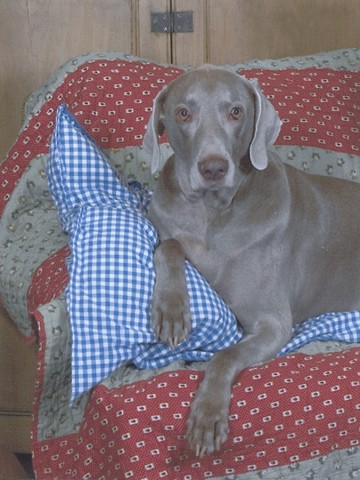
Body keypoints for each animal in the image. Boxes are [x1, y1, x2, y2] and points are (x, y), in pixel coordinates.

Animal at [143, 64, 360, 458]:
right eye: (183, 113)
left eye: (235, 112)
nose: (213, 167)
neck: (212, 212)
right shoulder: (167, 227)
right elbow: (169, 246)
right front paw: (171, 311)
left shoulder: (272, 325)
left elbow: (224, 356)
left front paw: (207, 416)